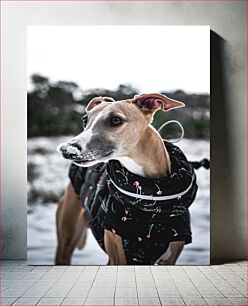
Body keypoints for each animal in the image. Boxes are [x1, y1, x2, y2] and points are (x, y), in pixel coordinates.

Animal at [55, 93, 198, 266]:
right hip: (66, 243)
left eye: (116, 120)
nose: (66, 150)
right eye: (85, 120)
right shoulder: (119, 256)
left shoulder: (170, 258)